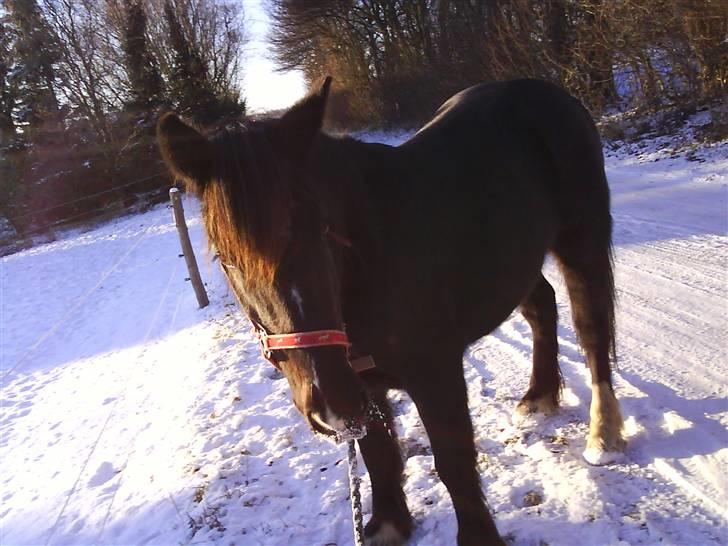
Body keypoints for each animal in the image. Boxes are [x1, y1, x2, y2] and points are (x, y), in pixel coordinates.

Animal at [157, 77, 625, 546]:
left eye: (322, 229)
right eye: (227, 258)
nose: (327, 400)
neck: (369, 261)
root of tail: (544, 90)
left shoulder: (434, 373)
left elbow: (452, 461)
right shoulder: (361, 386)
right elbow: (378, 454)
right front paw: (388, 525)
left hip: (582, 239)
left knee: (591, 324)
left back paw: (603, 435)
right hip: (517, 261)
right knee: (542, 306)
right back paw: (539, 395)